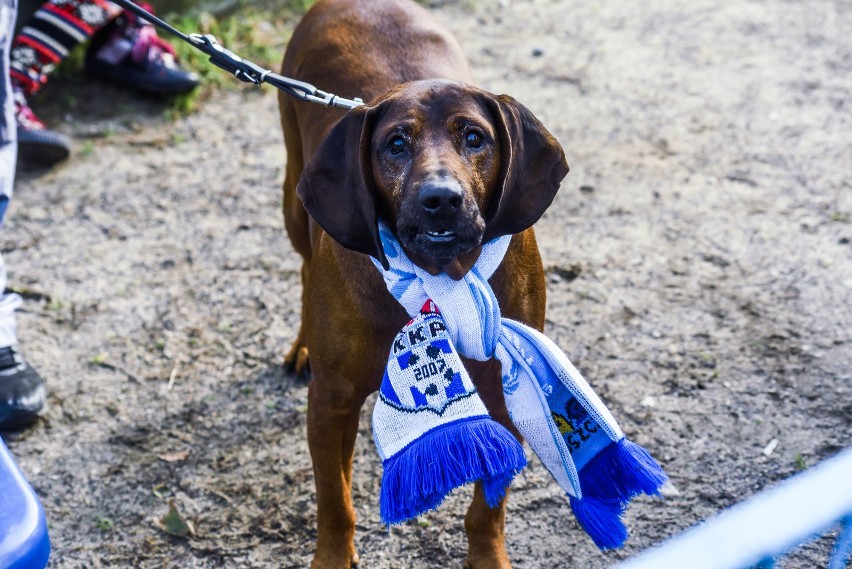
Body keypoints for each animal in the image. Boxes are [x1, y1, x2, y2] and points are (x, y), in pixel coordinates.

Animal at [280, 2, 568, 564]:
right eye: (395, 144)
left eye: (474, 137)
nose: (441, 199)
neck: (439, 278)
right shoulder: (331, 402)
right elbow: (335, 503)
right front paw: (332, 558)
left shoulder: (505, 391)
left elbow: (488, 508)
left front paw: (488, 557)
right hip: (292, 198)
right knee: (303, 264)